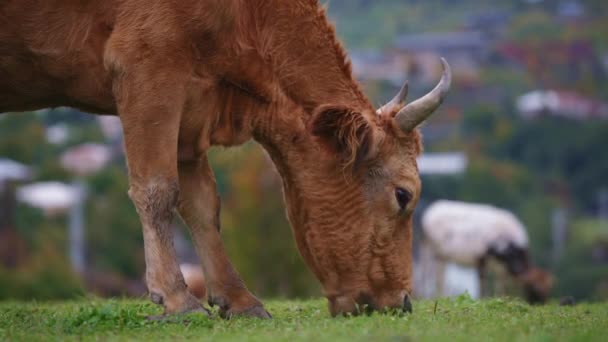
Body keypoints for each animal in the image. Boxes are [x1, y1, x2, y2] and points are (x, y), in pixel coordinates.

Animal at [0, 0, 446, 318]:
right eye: (404, 195)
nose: (403, 302)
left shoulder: (191, 110)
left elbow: (202, 205)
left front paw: (238, 298)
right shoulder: (147, 68)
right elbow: (157, 190)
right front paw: (176, 299)